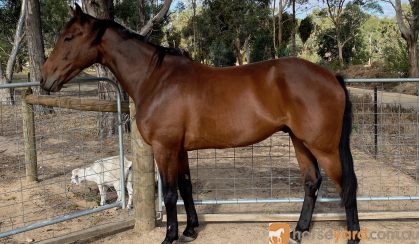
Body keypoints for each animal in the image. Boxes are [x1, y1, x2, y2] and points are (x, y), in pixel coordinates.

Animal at [40, 4, 360, 243]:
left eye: (69, 37)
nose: (45, 79)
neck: (156, 79)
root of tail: (331, 76)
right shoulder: (179, 149)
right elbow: (186, 187)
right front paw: (190, 229)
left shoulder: (164, 148)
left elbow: (170, 194)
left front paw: (169, 237)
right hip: (300, 141)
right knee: (312, 181)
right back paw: (299, 230)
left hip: (324, 147)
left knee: (347, 186)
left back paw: (352, 234)